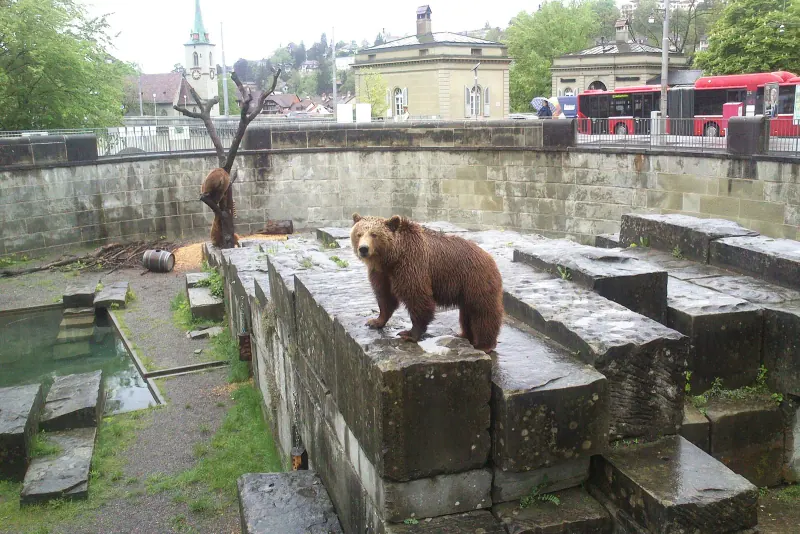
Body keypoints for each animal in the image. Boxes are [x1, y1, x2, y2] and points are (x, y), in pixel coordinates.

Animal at [350, 213, 504, 353]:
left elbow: (417, 297)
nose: (363, 249)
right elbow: (384, 297)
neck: (391, 258)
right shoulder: (382, 274)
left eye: (374, 234)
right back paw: (464, 335)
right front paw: (375, 321)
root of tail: (490, 258)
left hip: (476, 280)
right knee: (467, 313)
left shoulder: (412, 264)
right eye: (359, 234)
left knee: (482, 311)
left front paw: (409, 334)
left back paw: (484, 345)